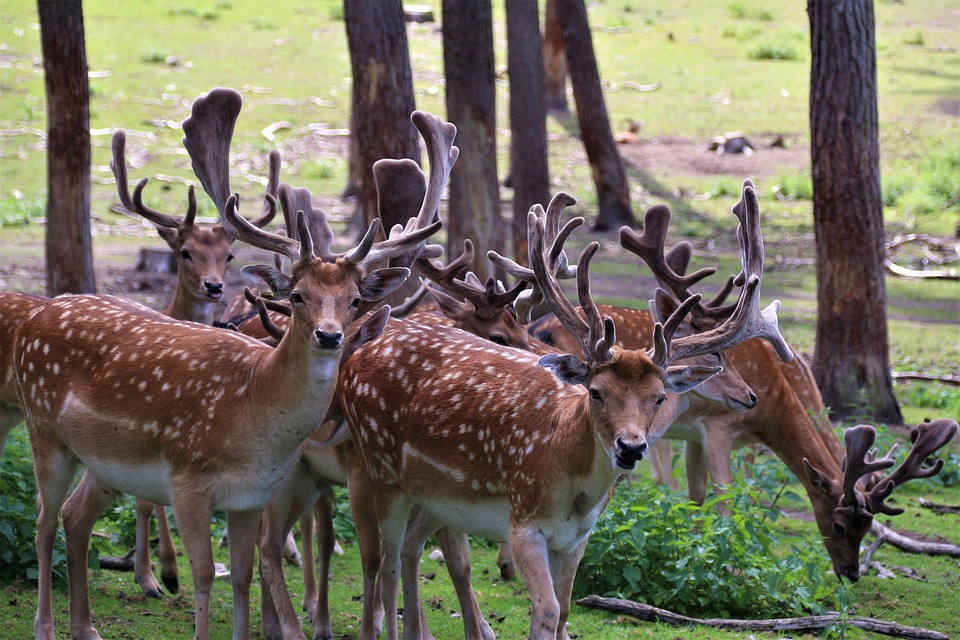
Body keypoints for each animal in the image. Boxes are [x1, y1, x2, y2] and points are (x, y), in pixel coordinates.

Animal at [12, 87, 449, 640]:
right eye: (299, 296)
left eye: (354, 300)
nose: (330, 336)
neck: (252, 412)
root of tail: (39, 312)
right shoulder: (187, 480)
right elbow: (205, 574)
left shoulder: (250, 497)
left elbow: (242, 573)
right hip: (43, 429)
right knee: (44, 519)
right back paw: (46, 625)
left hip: (104, 462)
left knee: (74, 516)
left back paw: (85, 627)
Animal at [336, 181, 790, 640]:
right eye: (596, 392)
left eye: (659, 397)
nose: (631, 447)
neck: (570, 492)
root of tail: (358, 352)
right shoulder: (523, 524)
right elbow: (548, 610)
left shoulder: (577, 537)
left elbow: (567, 607)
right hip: (382, 472)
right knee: (387, 561)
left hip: (434, 498)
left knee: (411, 549)